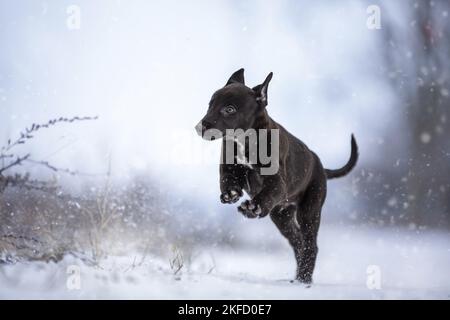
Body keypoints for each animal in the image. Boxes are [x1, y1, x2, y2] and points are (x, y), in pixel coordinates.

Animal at [195, 69, 356, 284]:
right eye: (210, 104)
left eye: (229, 109)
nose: (200, 126)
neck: (245, 139)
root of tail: (322, 167)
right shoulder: (229, 167)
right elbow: (227, 180)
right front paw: (231, 194)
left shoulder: (278, 182)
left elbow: (266, 193)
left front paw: (252, 206)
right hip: (281, 216)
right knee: (298, 242)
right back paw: (298, 276)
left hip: (310, 210)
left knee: (310, 244)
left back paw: (304, 279)